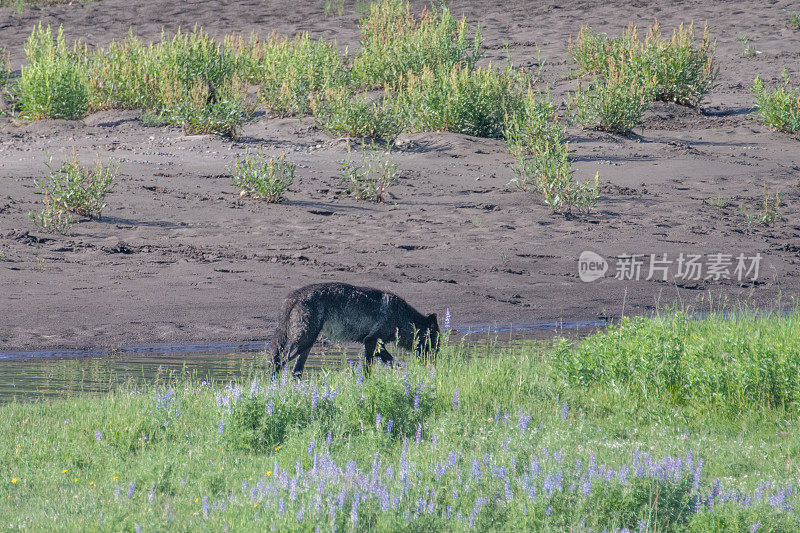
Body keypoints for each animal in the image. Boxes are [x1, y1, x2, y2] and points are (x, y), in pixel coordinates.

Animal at [272, 280, 440, 376]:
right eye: (435, 342)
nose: (435, 364)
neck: (402, 316)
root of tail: (294, 296)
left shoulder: (376, 345)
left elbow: (393, 363)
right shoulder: (371, 342)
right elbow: (369, 368)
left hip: (307, 344)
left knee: (295, 371)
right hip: (304, 342)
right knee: (279, 362)